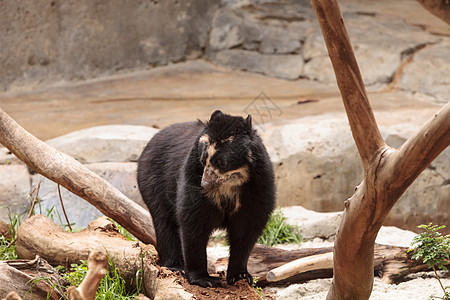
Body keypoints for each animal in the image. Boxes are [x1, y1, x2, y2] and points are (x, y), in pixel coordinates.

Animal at [137, 109, 274, 288]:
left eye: (222, 163)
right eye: (203, 160)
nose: (205, 184)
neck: (229, 185)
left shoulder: (258, 185)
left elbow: (246, 228)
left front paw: (240, 276)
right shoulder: (191, 174)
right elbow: (194, 222)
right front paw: (205, 279)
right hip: (154, 182)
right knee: (165, 223)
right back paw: (175, 266)